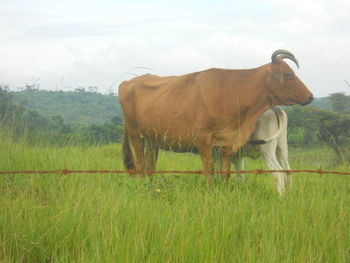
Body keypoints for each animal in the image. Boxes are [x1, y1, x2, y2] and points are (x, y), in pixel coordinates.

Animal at [119, 49, 314, 184]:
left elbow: (225, 172)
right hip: (135, 134)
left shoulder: (228, 143)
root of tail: (129, 82)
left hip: (153, 139)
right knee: (140, 163)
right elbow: (209, 169)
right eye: (288, 75)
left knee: (150, 165)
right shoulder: (203, 140)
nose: (311, 96)